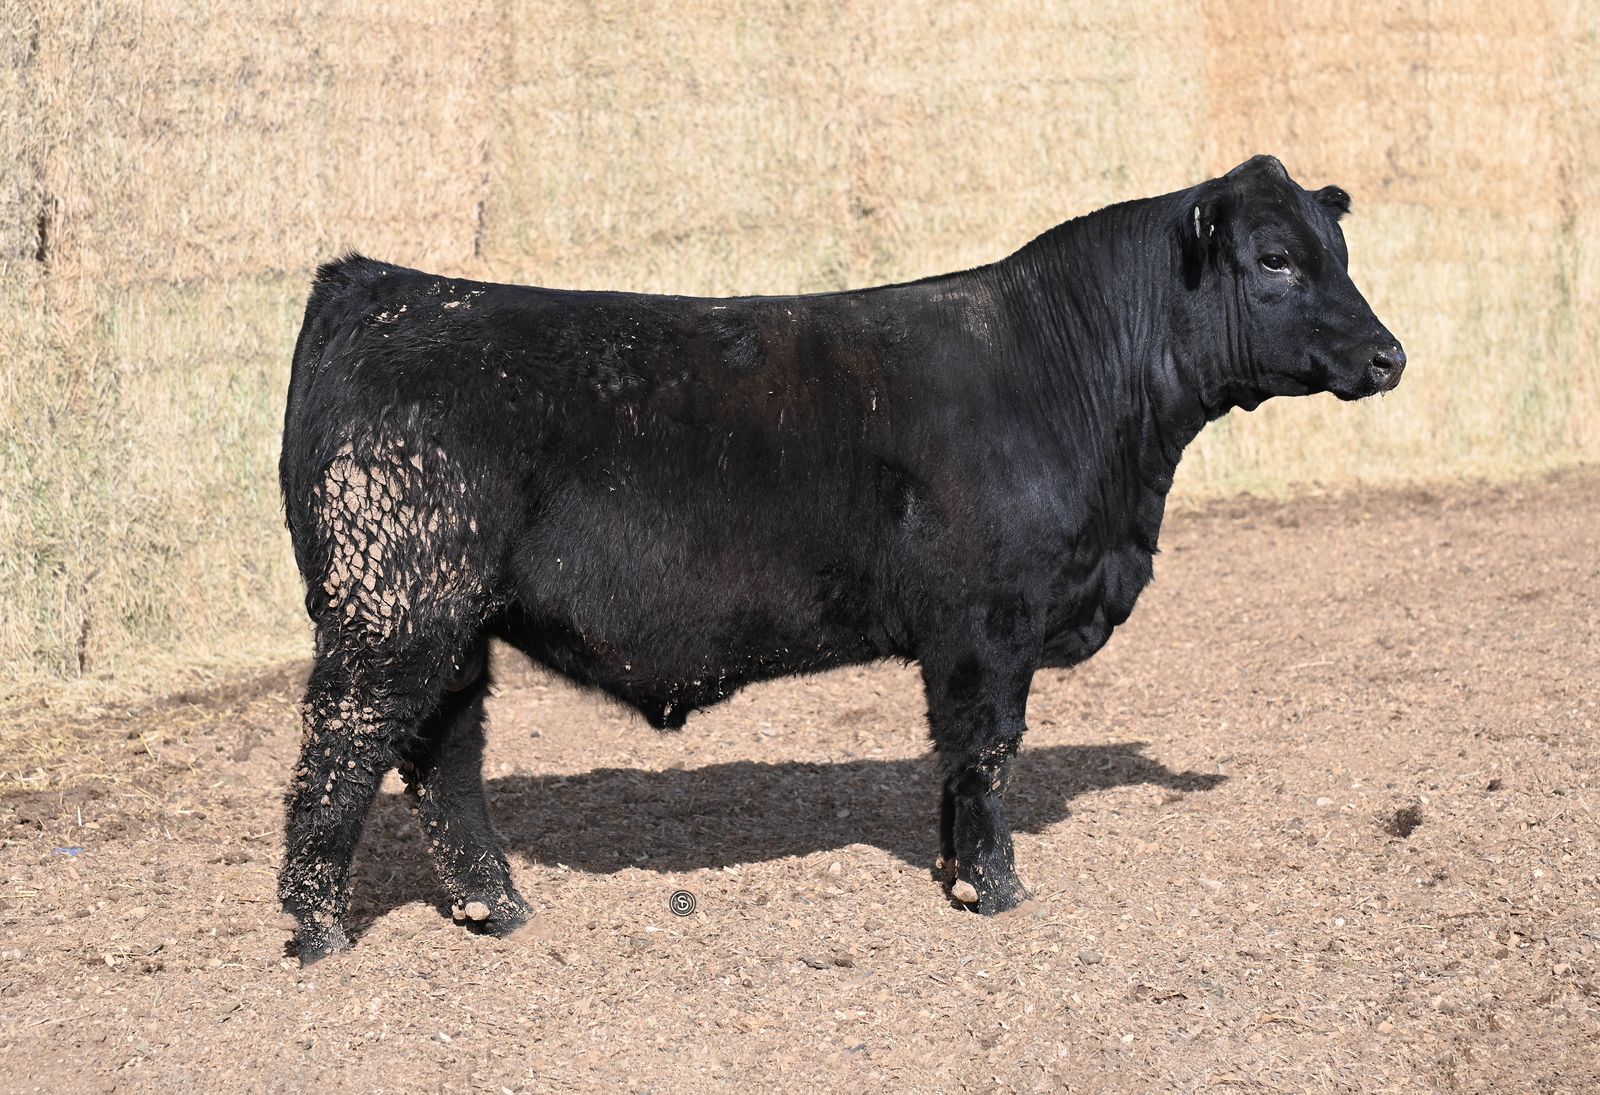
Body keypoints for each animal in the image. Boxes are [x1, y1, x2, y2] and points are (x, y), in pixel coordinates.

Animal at [278, 155, 1404, 962]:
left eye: (1340, 249)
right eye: (1274, 258)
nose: (1389, 354)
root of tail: (380, 287)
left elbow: (953, 758)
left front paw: (957, 876)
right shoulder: (987, 624)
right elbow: (986, 750)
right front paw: (995, 889)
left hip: (450, 623)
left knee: (441, 756)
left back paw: (495, 907)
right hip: (392, 610)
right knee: (339, 753)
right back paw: (318, 934)